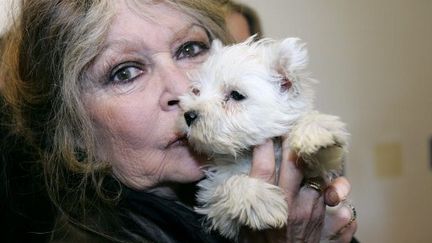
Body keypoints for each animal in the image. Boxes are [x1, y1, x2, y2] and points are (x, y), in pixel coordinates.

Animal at [177, 37, 350, 240]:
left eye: (236, 95)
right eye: (196, 91)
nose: (188, 115)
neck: (249, 150)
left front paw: (316, 131)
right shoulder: (215, 207)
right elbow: (229, 183)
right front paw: (259, 199)